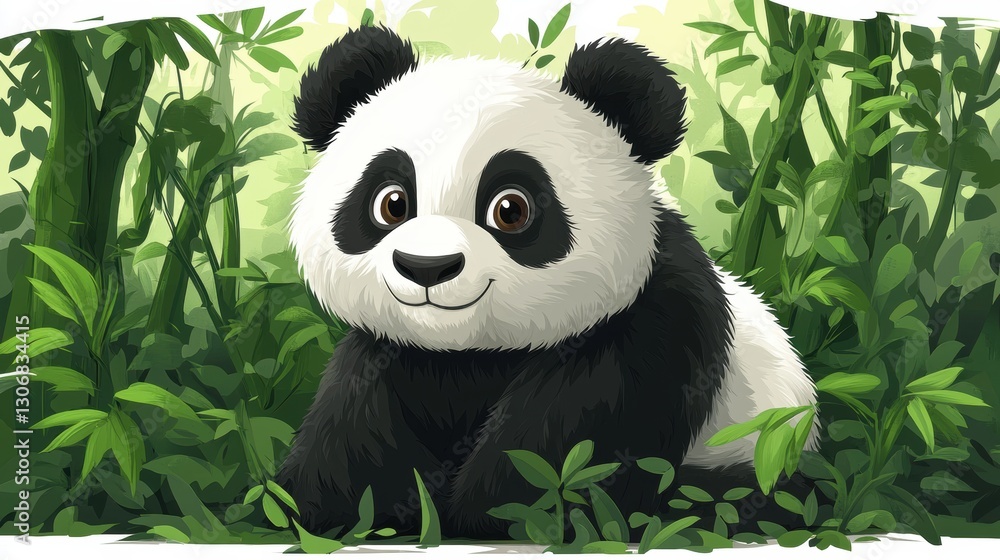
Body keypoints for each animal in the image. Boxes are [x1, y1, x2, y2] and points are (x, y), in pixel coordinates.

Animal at [278, 26, 818, 539]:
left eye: (510, 209)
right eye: (391, 203)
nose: (427, 266)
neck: (467, 356)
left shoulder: (654, 328)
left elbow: (566, 452)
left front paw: (493, 507)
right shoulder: (387, 354)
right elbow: (348, 442)